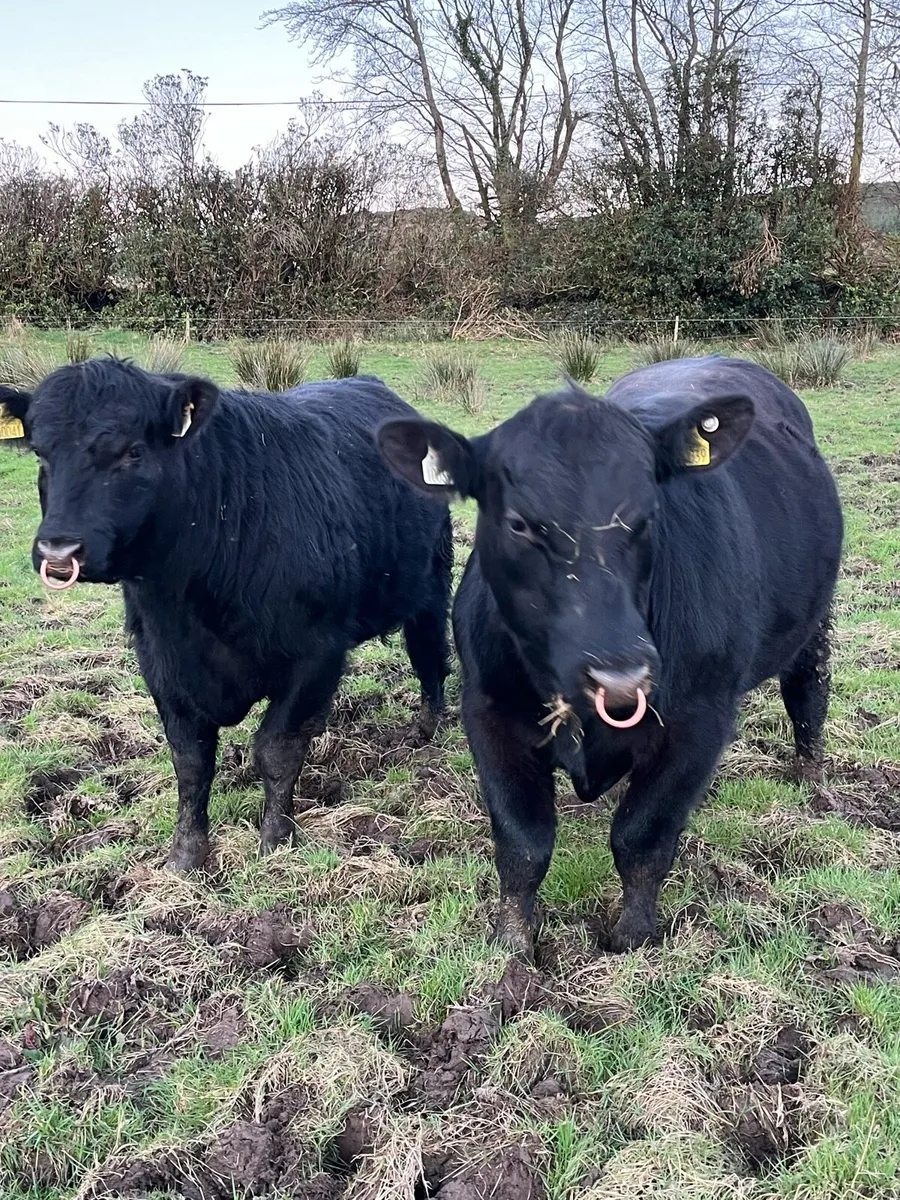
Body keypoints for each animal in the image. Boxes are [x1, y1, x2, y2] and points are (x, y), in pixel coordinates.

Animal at [0, 359, 452, 871]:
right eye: (41, 454)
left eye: (133, 451)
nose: (58, 552)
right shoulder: (162, 663)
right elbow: (191, 762)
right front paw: (185, 856)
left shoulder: (315, 654)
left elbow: (276, 749)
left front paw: (275, 840)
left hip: (430, 585)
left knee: (429, 655)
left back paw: (425, 728)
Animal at [377, 355, 843, 958]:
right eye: (519, 523)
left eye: (649, 516)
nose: (620, 675)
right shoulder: (487, 712)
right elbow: (522, 843)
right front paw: (513, 943)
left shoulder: (699, 720)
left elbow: (641, 837)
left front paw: (632, 938)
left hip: (815, 619)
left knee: (808, 688)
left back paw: (810, 776)